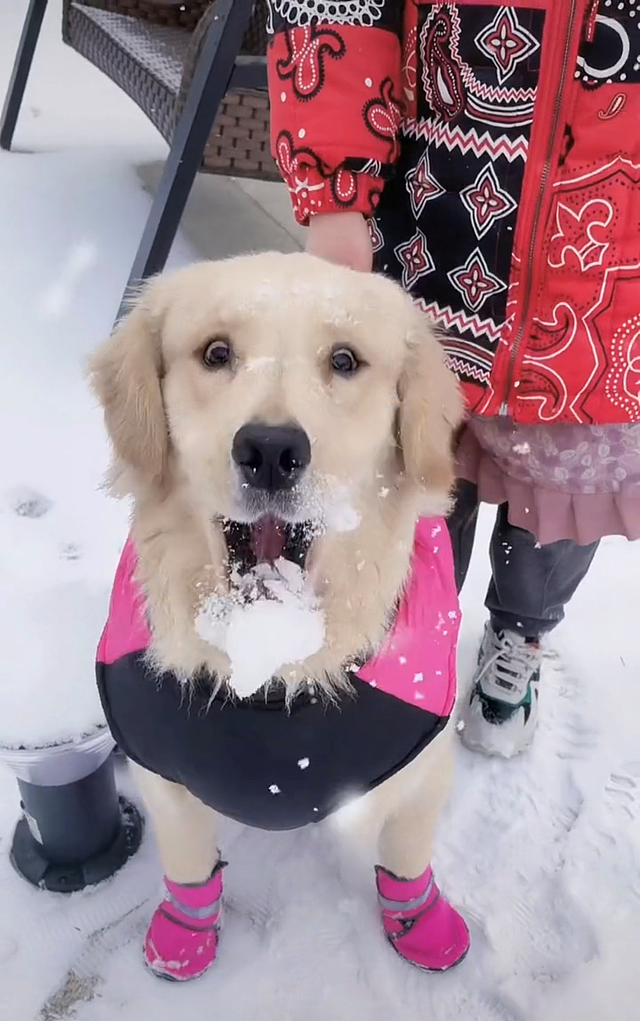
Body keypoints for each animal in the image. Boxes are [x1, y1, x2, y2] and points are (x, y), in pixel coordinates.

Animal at [91, 249, 471, 980]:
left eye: (345, 360)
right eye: (215, 352)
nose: (270, 450)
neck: (270, 670)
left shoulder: (425, 768)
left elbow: (406, 851)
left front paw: (419, 920)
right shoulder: (163, 775)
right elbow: (188, 860)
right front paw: (185, 936)